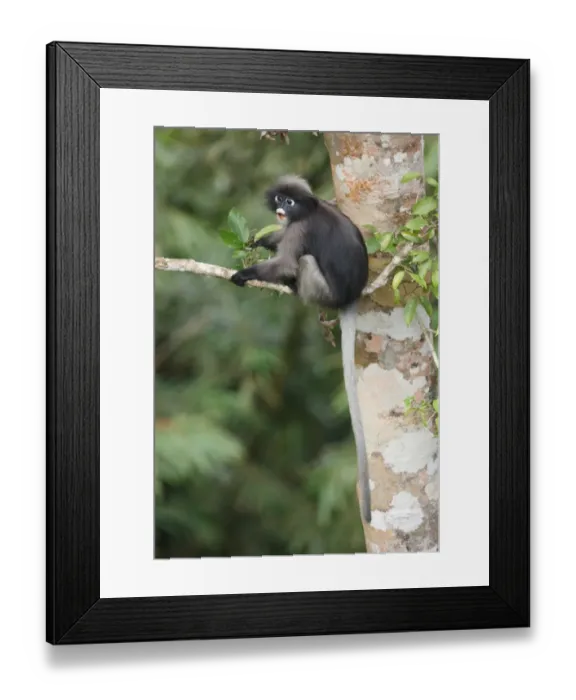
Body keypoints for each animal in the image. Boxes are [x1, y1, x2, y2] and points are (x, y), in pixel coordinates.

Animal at [230, 175, 372, 524]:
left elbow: (285, 261)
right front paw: (254, 241)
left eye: (290, 202)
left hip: (322, 292)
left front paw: (244, 273)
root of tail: (350, 296)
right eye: (280, 198)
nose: (282, 208)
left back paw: (293, 286)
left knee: (304, 262)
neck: (310, 209)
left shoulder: (300, 228)